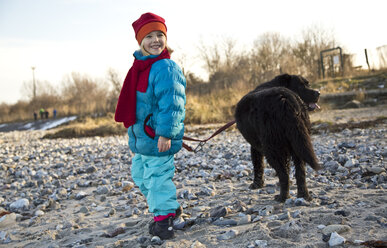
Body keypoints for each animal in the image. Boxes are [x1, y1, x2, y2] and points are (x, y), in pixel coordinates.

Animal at [235, 73, 322, 202]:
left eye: (308, 84)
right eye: (302, 86)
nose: (318, 93)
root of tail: (284, 98)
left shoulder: (255, 146)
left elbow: (258, 165)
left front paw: (256, 184)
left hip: (272, 148)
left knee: (283, 174)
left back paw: (282, 197)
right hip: (298, 143)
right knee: (300, 172)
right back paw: (303, 195)